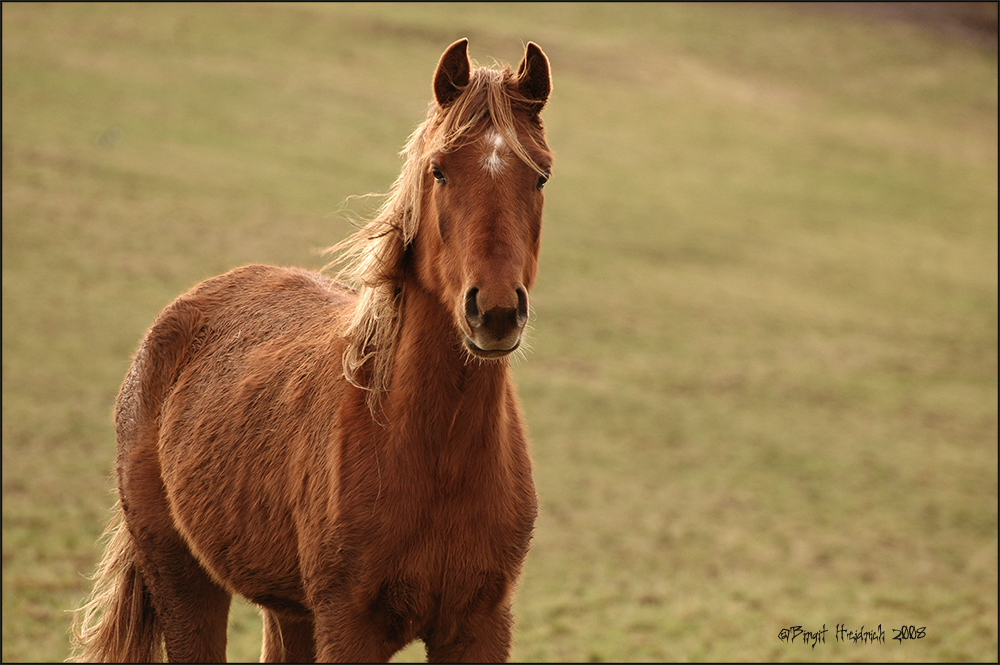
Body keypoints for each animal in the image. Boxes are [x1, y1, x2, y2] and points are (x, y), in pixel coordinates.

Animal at [70, 39, 556, 660]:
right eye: (439, 170)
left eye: (540, 176)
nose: (493, 311)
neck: (434, 453)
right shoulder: (348, 625)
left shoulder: (480, 625)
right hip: (183, 579)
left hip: (289, 610)